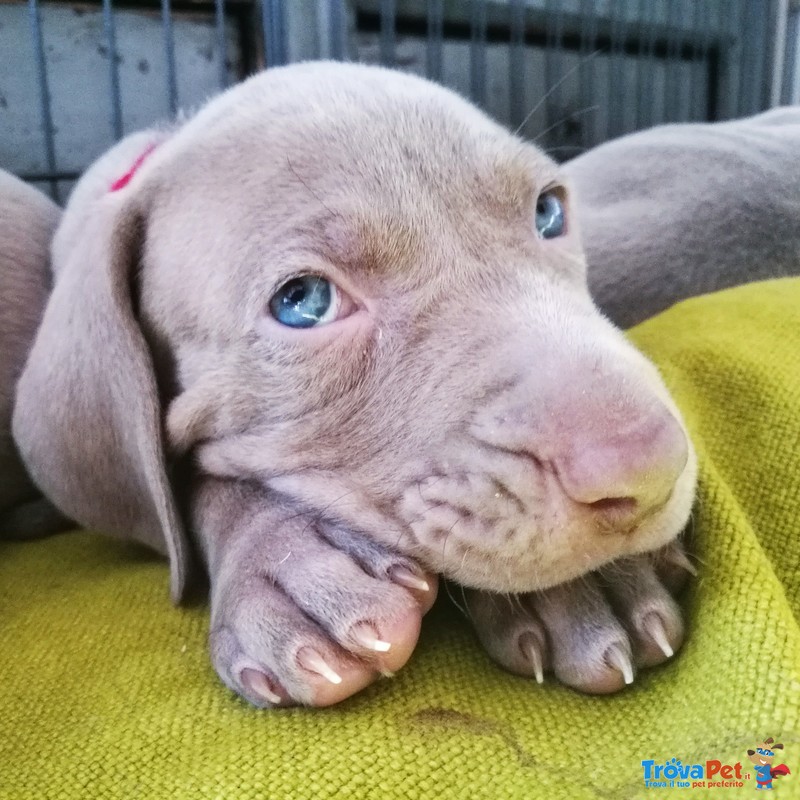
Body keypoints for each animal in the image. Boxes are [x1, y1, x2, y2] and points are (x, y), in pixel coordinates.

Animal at [10, 65, 708, 708]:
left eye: (549, 211)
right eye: (304, 303)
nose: (647, 466)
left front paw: (588, 587)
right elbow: (200, 482)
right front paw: (286, 564)